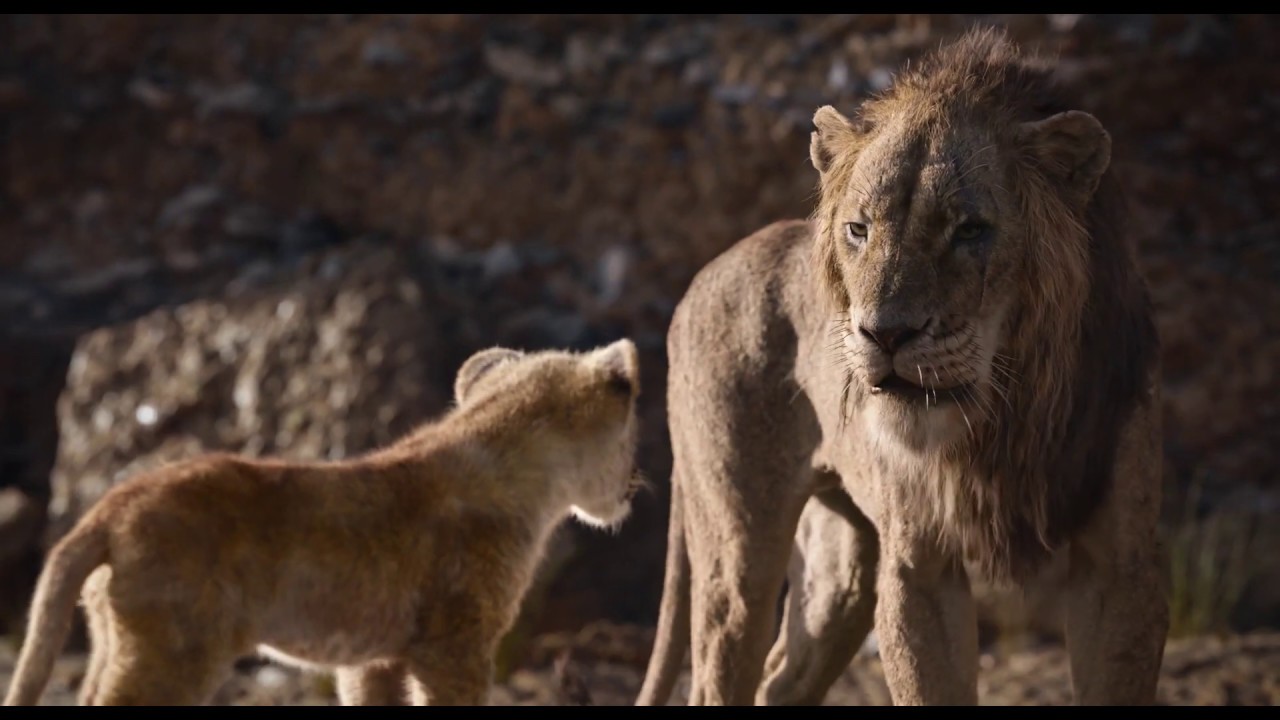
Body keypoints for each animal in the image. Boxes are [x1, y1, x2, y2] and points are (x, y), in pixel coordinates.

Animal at [4, 339, 646, 706]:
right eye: (631, 439)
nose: (634, 486)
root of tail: (108, 509)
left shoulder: (375, 658)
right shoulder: (455, 644)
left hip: (113, 638)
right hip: (173, 651)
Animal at [637, 28, 1166, 706]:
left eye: (970, 230)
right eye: (858, 230)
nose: (885, 333)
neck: (1007, 420)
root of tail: (703, 274)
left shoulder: (1124, 567)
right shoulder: (918, 563)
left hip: (844, 565)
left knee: (781, 679)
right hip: (737, 547)